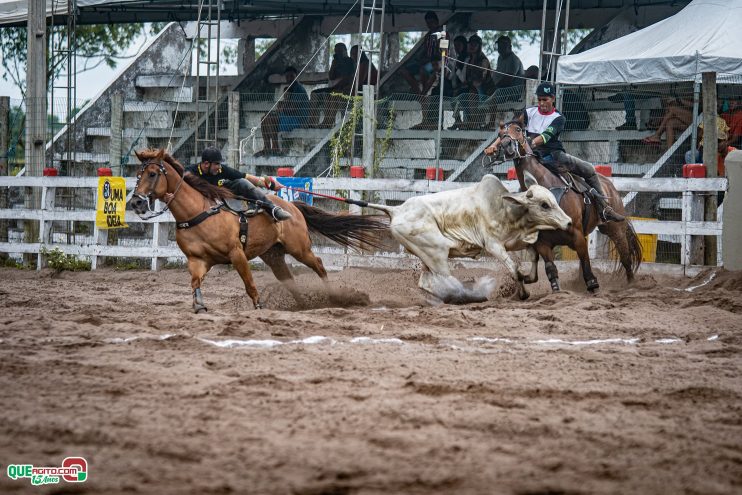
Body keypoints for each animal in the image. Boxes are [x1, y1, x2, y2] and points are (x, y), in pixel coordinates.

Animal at [129, 149, 390, 314]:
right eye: (138, 174)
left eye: (152, 174)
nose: (136, 202)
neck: (199, 210)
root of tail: (292, 206)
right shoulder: (197, 260)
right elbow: (194, 284)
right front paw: (199, 306)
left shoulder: (237, 253)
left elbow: (249, 283)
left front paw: (258, 306)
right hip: (273, 255)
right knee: (288, 279)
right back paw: (303, 305)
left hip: (299, 248)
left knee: (318, 264)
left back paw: (333, 295)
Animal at [370, 174, 572, 304]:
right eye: (544, 205)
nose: (569, 222)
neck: (505, 209)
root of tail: (396, 209)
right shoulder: (493, 246)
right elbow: (514, 268)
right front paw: (522, 293)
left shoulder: (519, 242)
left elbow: (532, 260)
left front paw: (527, 278)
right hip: (437, 252)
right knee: (447, 280)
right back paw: (471, 296)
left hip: (427, 256)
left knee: (426, 282)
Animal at [500, 123, 644, 292]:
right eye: (500, 134)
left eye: (517, 129)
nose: (506, 145)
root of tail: (609, 185)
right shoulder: (542, 243)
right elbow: (551, 269)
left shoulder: (577, 234)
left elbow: (586, 262)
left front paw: (592, 283)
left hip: (615, 228)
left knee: (625, 257)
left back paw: (631, 284)